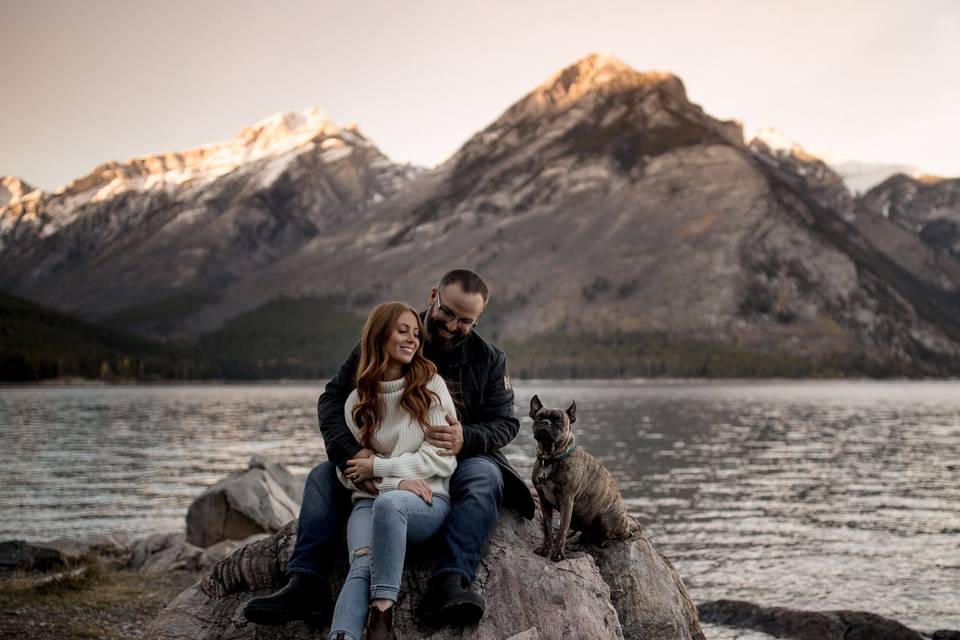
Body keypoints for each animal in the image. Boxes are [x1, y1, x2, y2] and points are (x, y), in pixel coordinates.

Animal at [528, 392, 640, 564]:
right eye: (539, 417)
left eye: (558, 421)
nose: (546, 423)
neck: (551, 457)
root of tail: (626, 520)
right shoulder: (544, 501)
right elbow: (547, 529)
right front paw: (546, 549)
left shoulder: (567, 501)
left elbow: (561, 531)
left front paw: (558, 554)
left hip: (606, 520)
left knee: (626, 534)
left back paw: (606, 541)